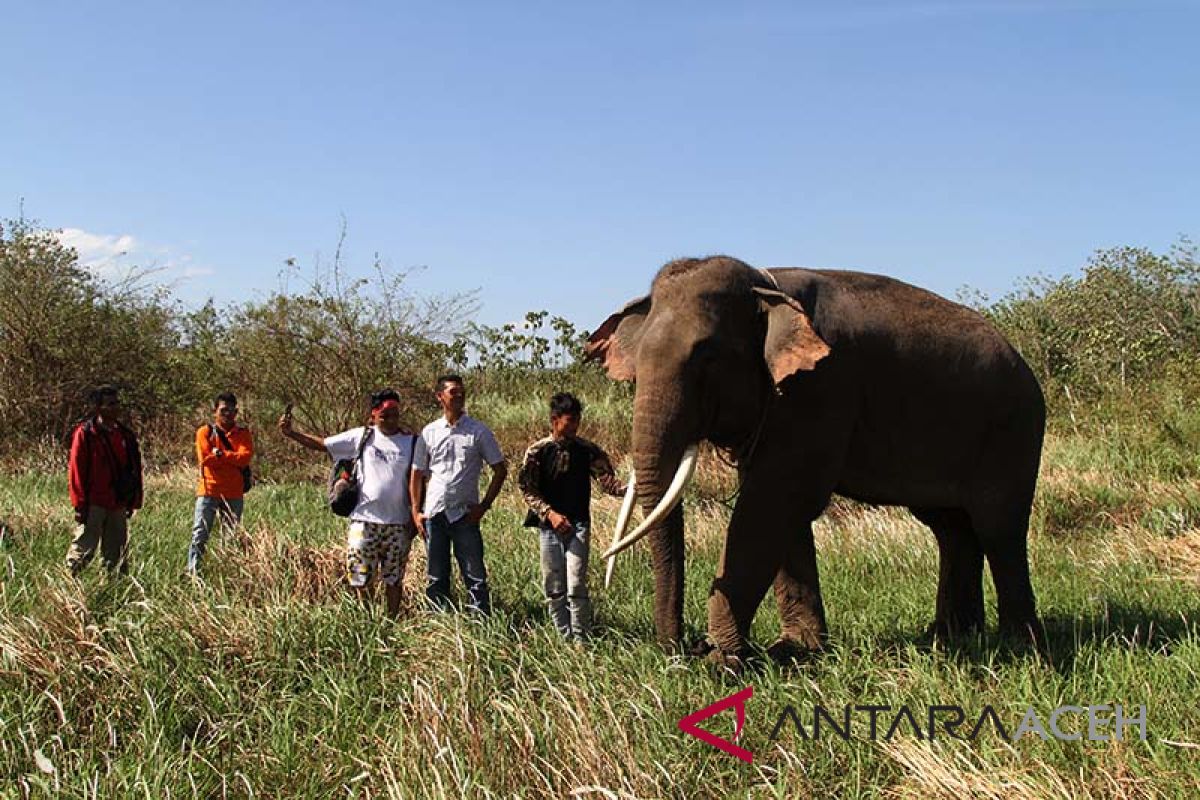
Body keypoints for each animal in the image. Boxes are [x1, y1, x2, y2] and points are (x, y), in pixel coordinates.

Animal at [585, 255, 1046, 662]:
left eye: (708, 358)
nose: (683, 648)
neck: (764, 286)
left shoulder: (820, 389)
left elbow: (773, 504)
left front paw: (725, 660)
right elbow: (781, 509)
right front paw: (793, 650)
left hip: (1014, 432)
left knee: (998, 527)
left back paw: (1019, 645)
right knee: (951, 528)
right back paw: (953, 636)